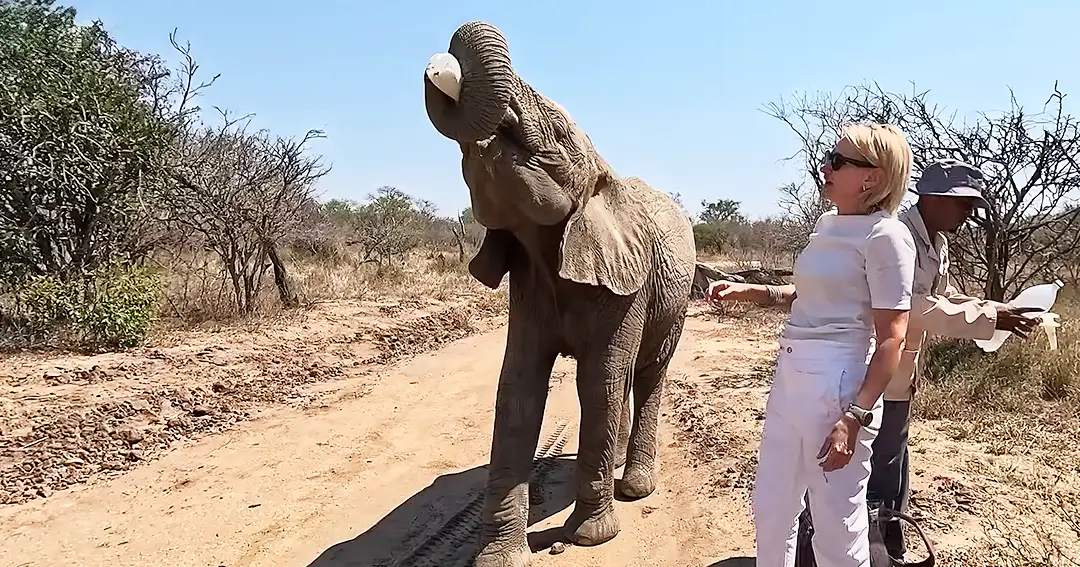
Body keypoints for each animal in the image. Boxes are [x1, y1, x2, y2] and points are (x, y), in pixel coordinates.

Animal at [422, 21, 696, 567]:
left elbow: (598, 380)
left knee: (648, 371)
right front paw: (498, 557)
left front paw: (591, 538)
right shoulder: (527, 281)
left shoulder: (627, 283)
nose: (437, 66)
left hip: (674, 301)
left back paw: (635, 488)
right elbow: (518, 387)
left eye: (557, 131)